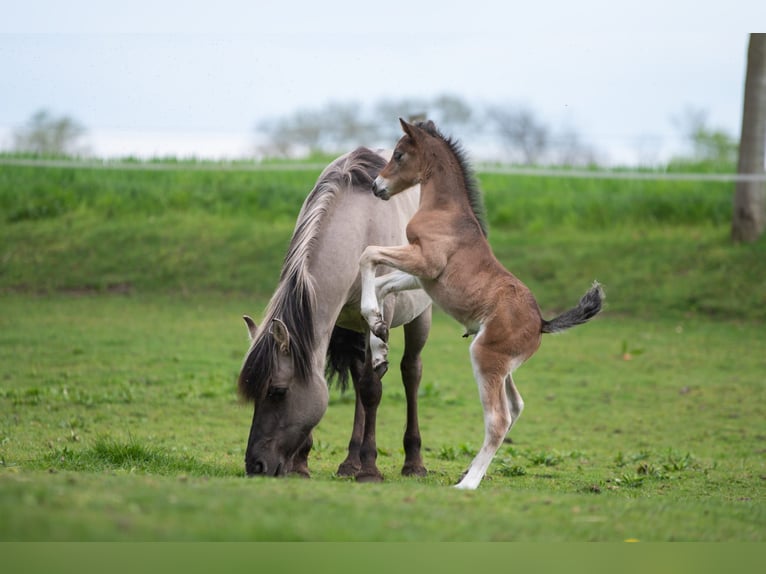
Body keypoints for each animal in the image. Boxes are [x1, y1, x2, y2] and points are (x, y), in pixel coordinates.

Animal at [238, 146, 432, 484]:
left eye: (277, 392)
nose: (256, 466)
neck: (359, 228)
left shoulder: (378, 320)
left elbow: (372, 389)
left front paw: (370, 469)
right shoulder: (330, 321)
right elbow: (339, 380)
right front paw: (302, 463)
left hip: (419, 316)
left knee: (410, 372)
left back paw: (412, 462)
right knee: (358, 376)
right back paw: (350, 461)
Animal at [360, 119, 608, 492]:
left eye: (399, 154)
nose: (377, 186)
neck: (445, 212)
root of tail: (542, 323)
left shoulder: (425, 262)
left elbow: (368, 255)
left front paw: (376, 326)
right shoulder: (422, 277)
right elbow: (380, 283)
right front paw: (378, 339)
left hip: (485, 357)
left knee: (499, 418)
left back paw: (468, 483)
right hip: (503, 366)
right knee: (516, 406)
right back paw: (469, 472)